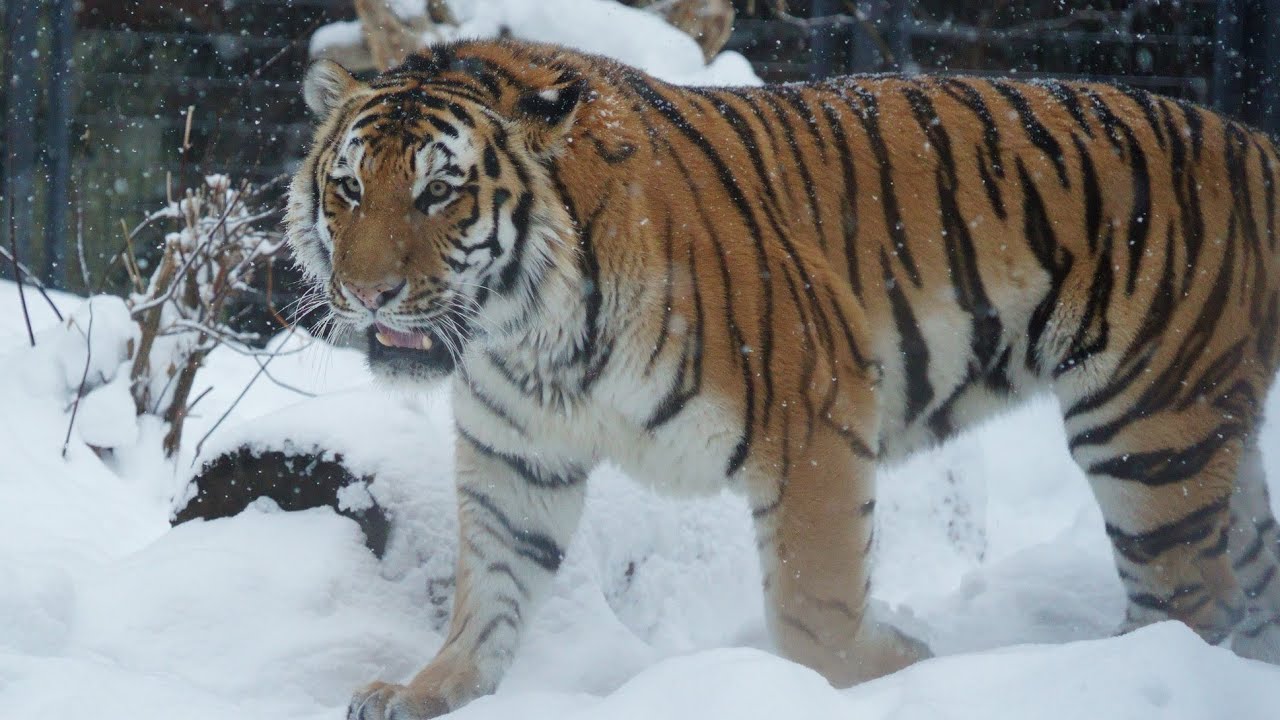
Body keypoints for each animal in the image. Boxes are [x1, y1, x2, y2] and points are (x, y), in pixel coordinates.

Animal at [285, 38, 1280, 719]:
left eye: (439, 192)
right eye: (348, 189)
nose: (365, 293)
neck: (526, 332)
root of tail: (1249, 140)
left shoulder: (813, 420)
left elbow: (812, 607)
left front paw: (897, 669)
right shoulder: (515, 453)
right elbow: (488, 589)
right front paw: (426, 689)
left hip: (1150, 428)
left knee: (1188, 596)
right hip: (1199, 436)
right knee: (1246, 579)